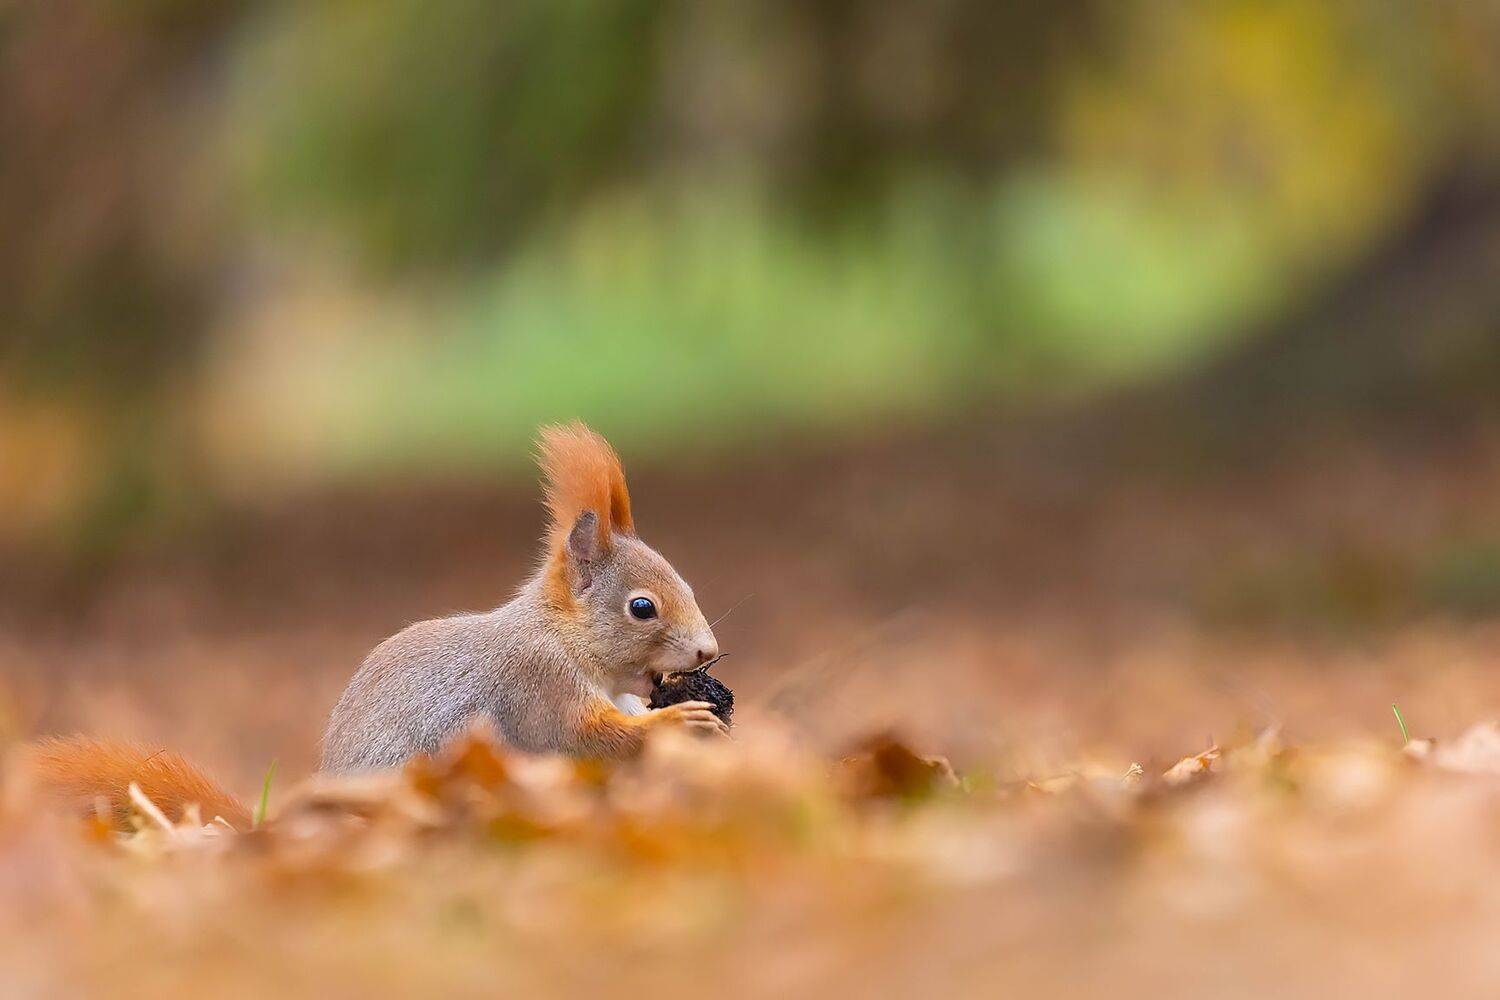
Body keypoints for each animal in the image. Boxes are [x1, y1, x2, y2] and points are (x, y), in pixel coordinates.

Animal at [18, 422, 727, 826]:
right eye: (642, 607)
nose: (709, 652)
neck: (562, 637)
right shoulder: (537, 686)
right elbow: (588, 738)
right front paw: (680, 722)